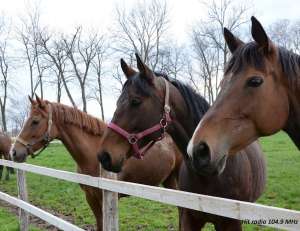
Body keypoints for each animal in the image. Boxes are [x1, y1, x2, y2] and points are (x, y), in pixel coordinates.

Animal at [10, 97, 182, 231]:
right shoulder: (90, 197)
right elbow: (99, 224)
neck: (94, 155)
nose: (14, 152)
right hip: (169, 180)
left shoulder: (106, 198)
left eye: (35, 121)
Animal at [97, 55, 266, 230]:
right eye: (118, 102)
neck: (211, 174)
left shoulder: (231, 223)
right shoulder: (189, 218)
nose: (104, 155)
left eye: (135, 101)